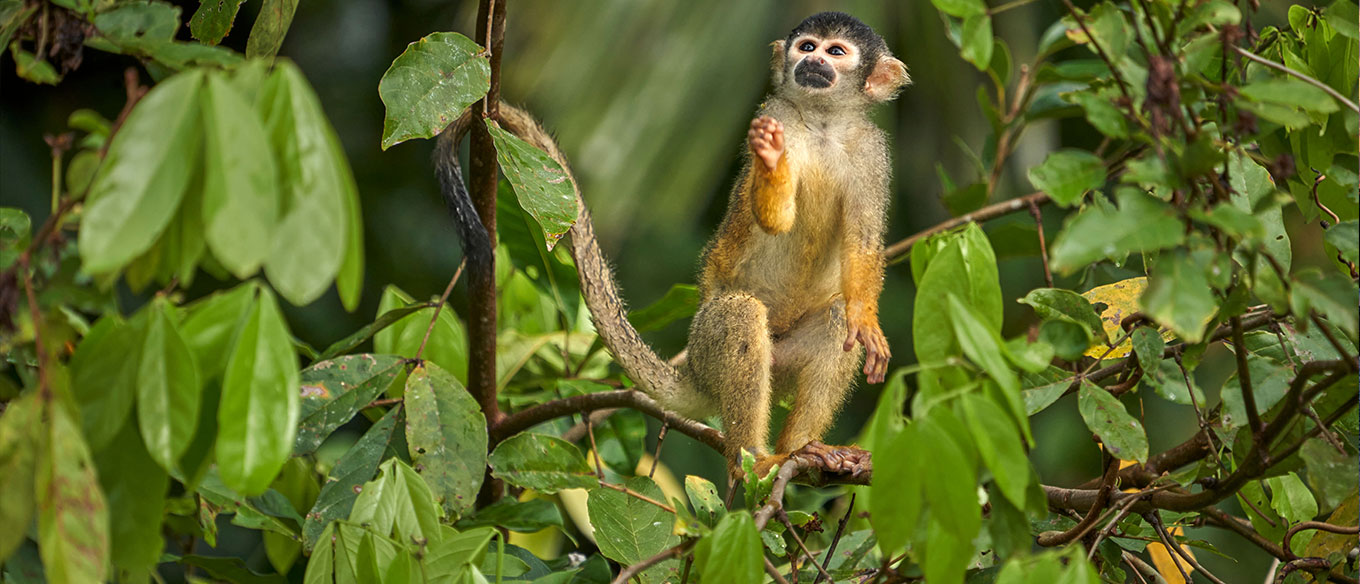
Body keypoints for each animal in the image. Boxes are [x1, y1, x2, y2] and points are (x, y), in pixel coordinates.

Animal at [440, 11, 908, 476]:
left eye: (836, 52)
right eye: (807, 46)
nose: (813, 62)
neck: (821, 124)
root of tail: (695, 375)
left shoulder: (874, 152)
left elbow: (863, 242)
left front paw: (866, 320)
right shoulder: (775, 114)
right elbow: (772, 220)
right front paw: (772, 161)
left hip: (780, 367)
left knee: (835, 319)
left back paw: (803, 448)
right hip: (708, 349)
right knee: (738, 315)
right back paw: (754, 461)